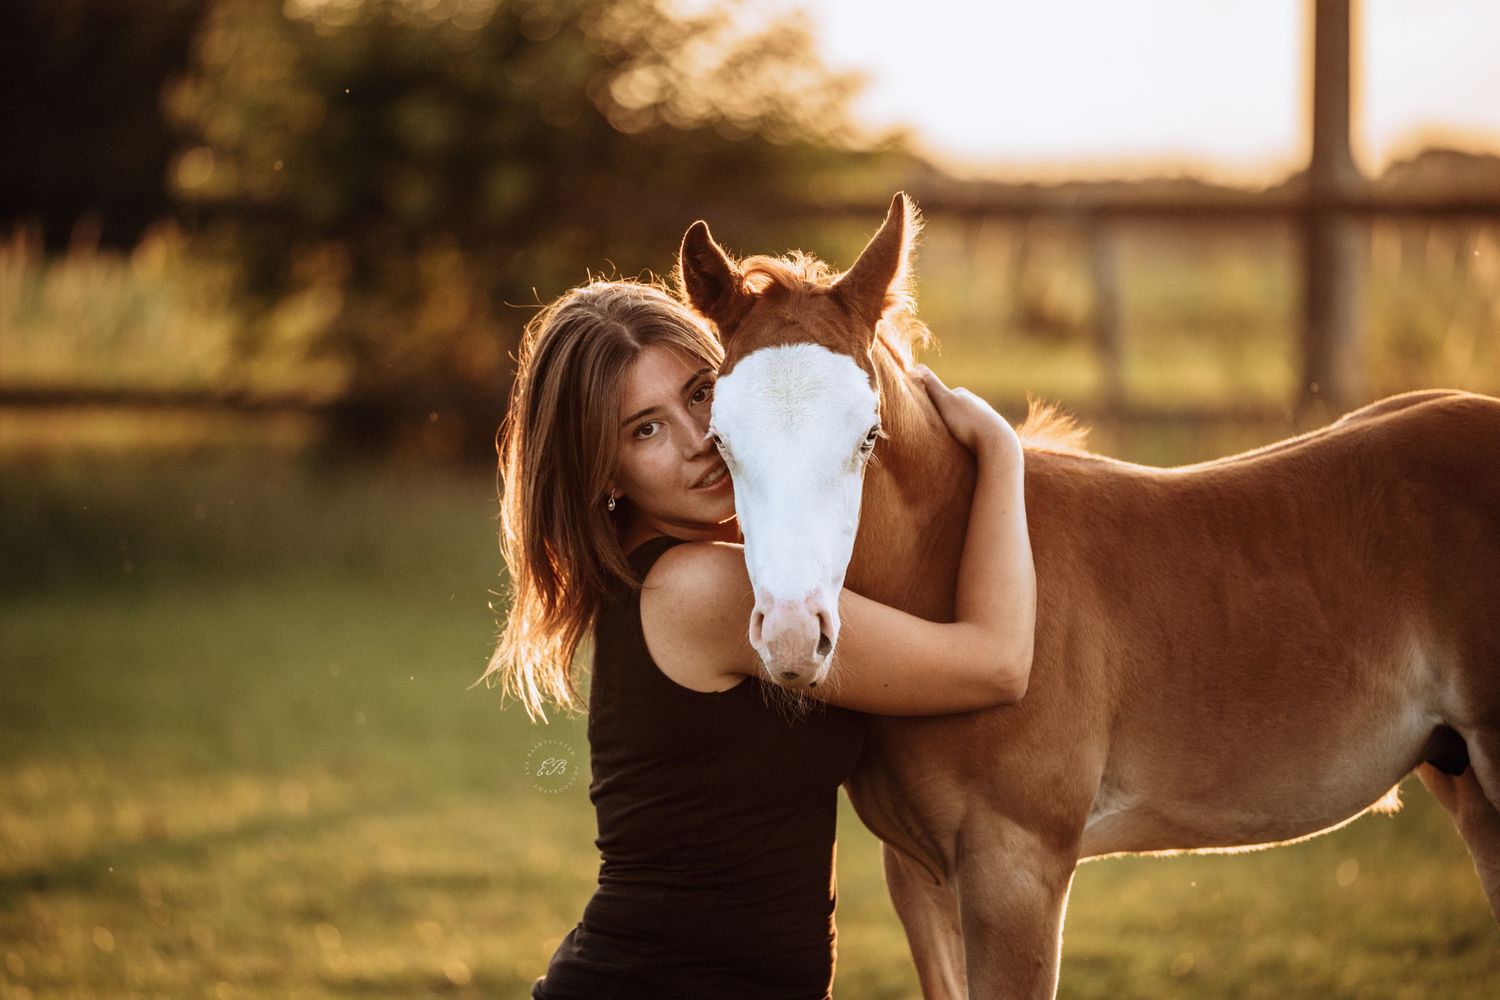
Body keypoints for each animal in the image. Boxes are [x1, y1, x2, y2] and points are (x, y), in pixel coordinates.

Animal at [678, 193, 1500, 998]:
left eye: (868, 436)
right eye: (719, 442)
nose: (791, 637)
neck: (966, 585)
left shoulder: (1018, 869)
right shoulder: (917, 874)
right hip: (1462, 780)